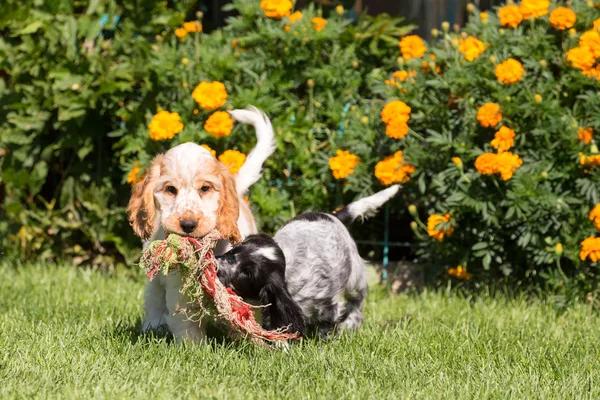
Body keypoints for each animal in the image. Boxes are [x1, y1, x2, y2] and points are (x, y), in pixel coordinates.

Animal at [129, 107, 276, 344]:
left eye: (205, 188)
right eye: (170, 189)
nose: (188, 224)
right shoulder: (179, 286)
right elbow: (186, 320)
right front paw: (194, 347)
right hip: (155, 281)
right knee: (154, 300)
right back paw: (153, 327)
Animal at [216, 184, 398, 338]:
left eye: (246, 274)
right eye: (232, 252)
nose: (216, 268)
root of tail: (333, 216)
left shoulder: (326, 306)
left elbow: (326, 327)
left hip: (355, 275)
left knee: (356, 300)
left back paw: (350, 324)